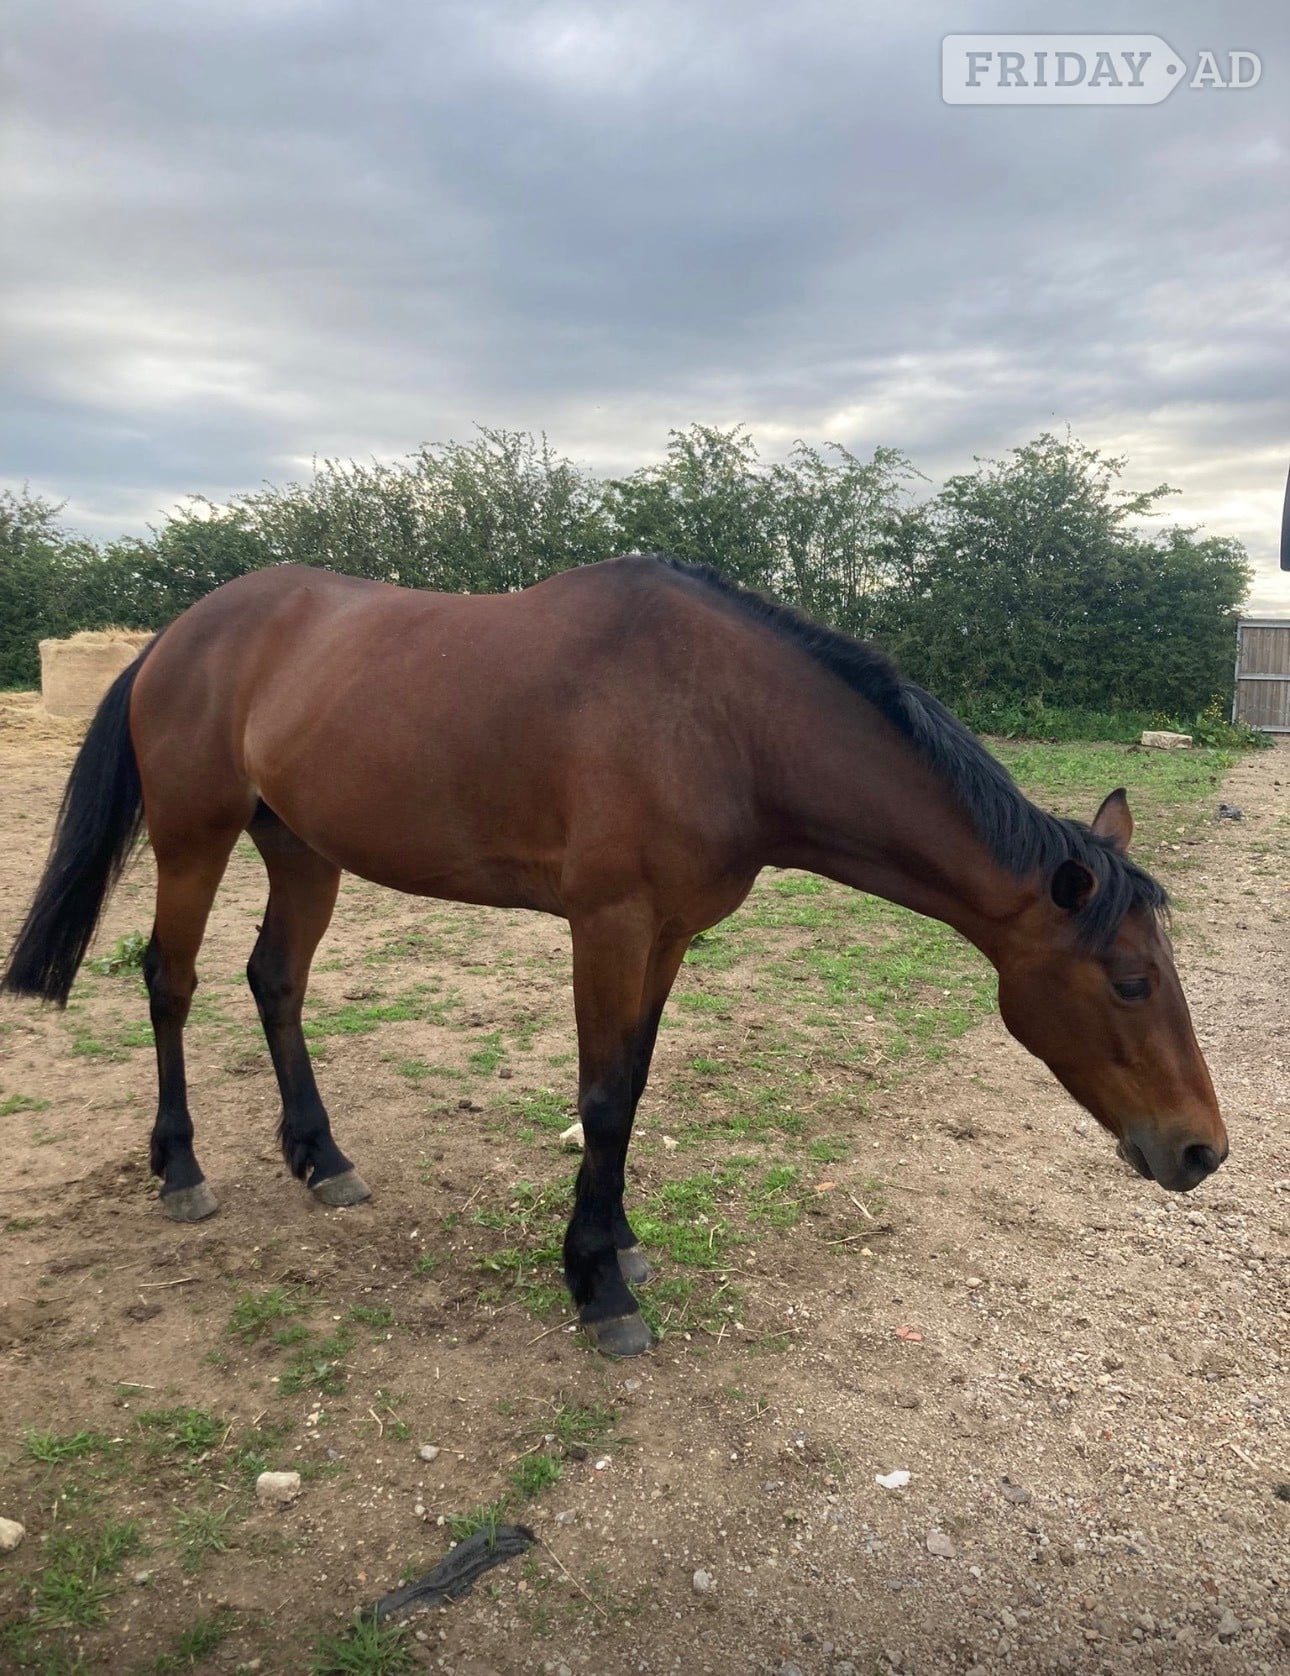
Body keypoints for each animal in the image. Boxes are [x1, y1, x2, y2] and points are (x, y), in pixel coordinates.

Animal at [2, 555, 1228, 1356]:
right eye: (1130, 980)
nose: (1200, 1151)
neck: (721, 722)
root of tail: (177, 633)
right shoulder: (610, 925)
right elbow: (598, 1096)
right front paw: (598, 1288)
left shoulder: (672, 933)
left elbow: (630, 1091)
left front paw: (620, 1247)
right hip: (195, 836)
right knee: (171, 982)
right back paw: (181, 1171)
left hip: (302, 847)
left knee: (276, 981)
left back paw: (322, 1155)